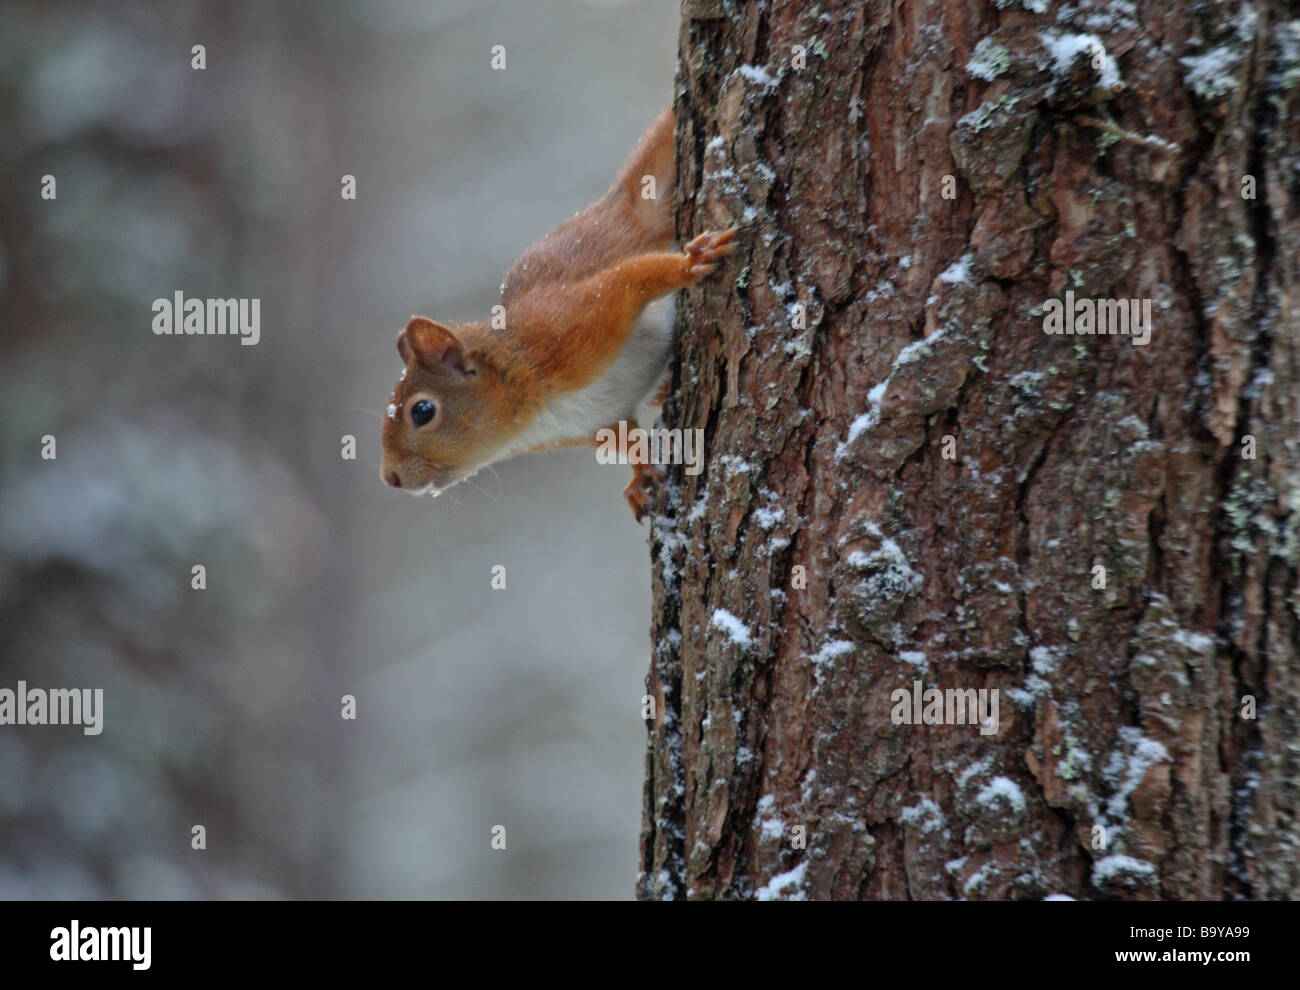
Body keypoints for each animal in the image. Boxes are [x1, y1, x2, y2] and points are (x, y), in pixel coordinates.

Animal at [379, 109, 738, 519]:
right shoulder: (599, 421)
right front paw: (638, 478)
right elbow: (627, 441)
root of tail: (616, 211)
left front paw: (692, 264)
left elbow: (632, 279)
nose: (389, 477)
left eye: (422, 411)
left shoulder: (572, 322)